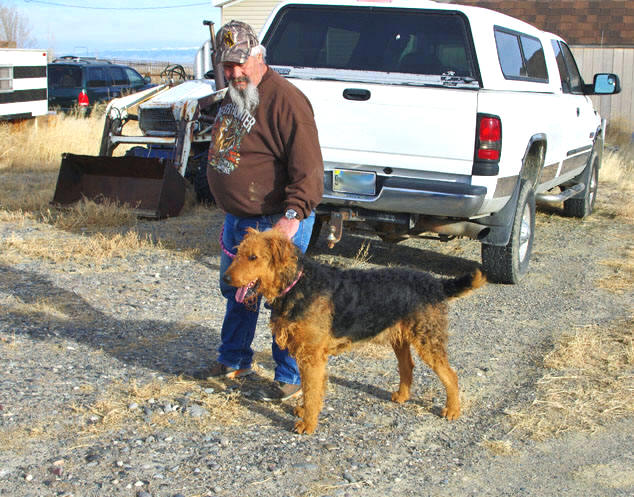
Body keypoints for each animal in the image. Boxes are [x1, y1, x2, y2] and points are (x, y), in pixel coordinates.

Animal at [222, 227, 484, 432]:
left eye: (253, 257)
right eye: (238, 253)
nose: (226, 279)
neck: (297, 284)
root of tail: (436, 283)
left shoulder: (312, 356)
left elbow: (312, 389)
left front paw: (308, 424)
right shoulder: (307, 354)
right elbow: (309, 389)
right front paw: (305, 411)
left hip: (428, 340)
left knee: (450, 375)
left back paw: (452, 410)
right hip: (400, 338)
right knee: (407, 366)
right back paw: (401, 396)